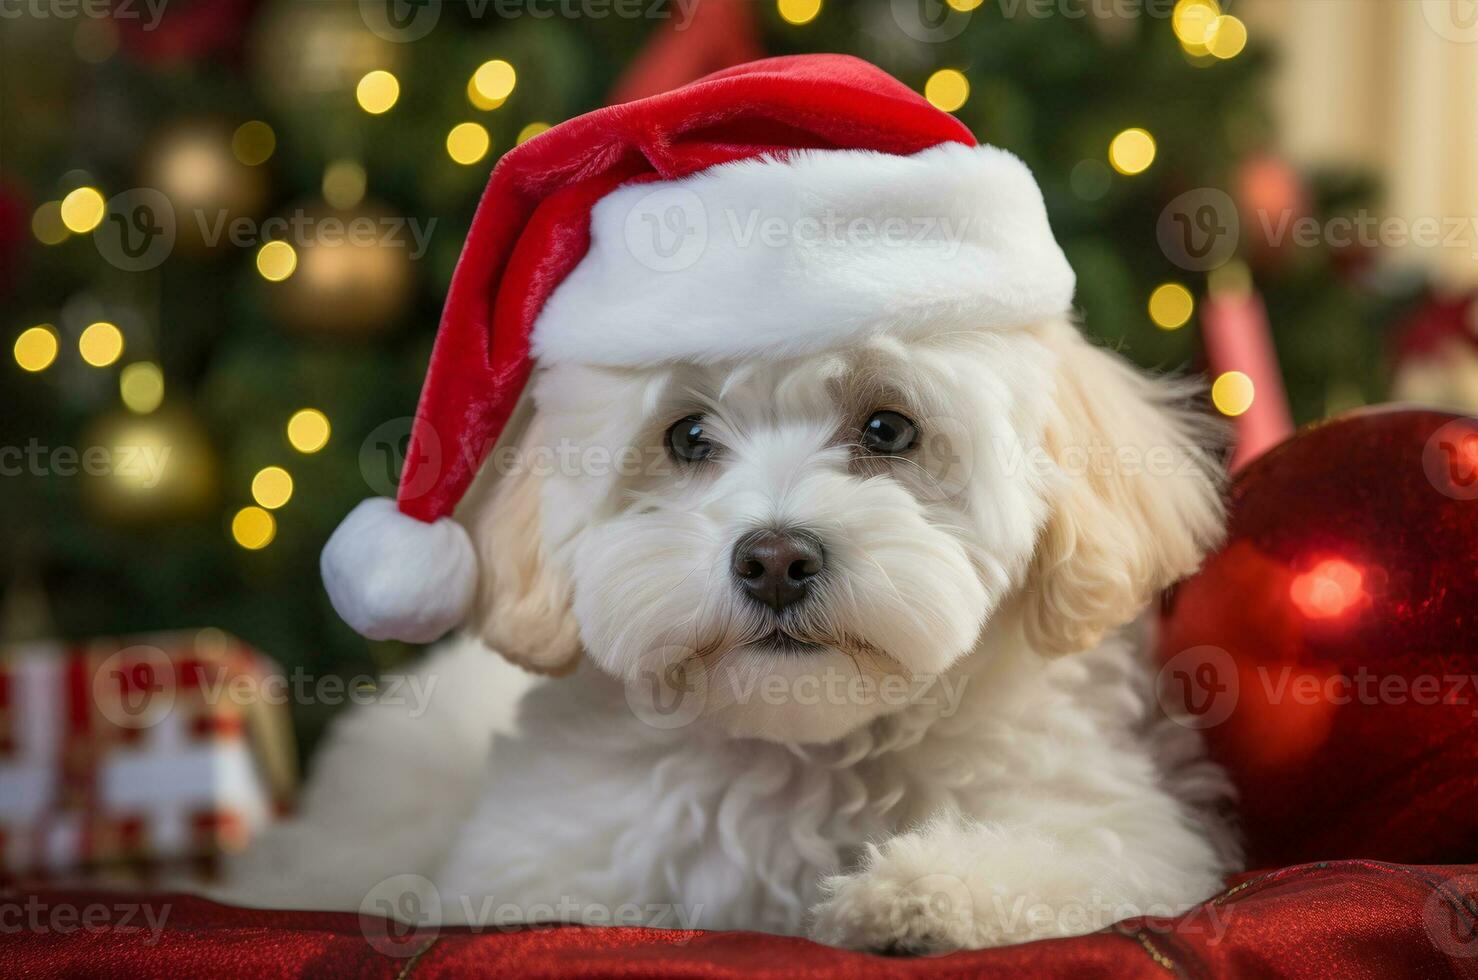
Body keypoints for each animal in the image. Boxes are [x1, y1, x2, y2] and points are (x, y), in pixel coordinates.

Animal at [224, 317, 1241, 951]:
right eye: (687, 436)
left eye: (888, 427)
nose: (776, 559)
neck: (803, 750)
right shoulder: (532, 867)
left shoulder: (1123, 830)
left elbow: (1074, 861)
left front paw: (920, 896)